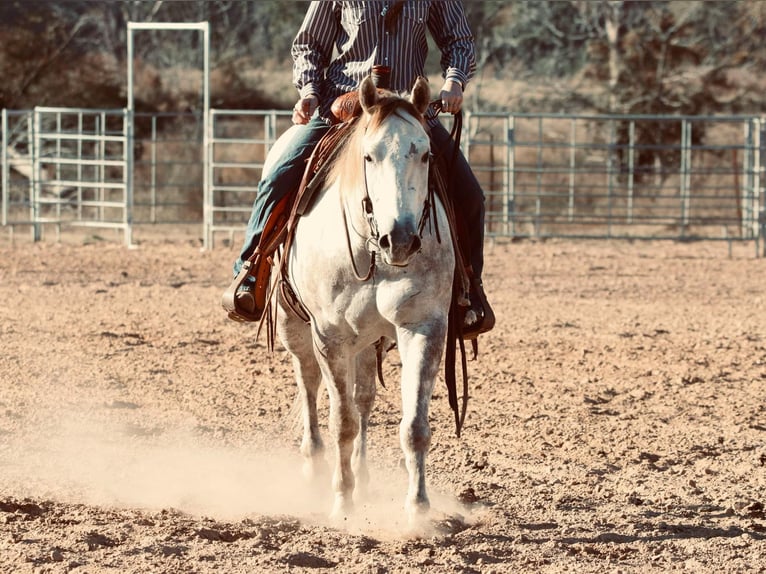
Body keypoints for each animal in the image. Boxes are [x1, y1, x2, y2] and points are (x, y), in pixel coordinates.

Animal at [274, 74, 460, 528]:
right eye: (369, 156)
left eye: (426, 153)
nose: (402, 239)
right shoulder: (330, 336)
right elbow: (340, 421)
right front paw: (342, 502)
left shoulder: (424, 327)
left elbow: (414, 426)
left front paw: (419, 511)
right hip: (294, 327)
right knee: (309, 384)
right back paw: (315, 468)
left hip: (368, 340)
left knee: (363, 401)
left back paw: (363, 477)